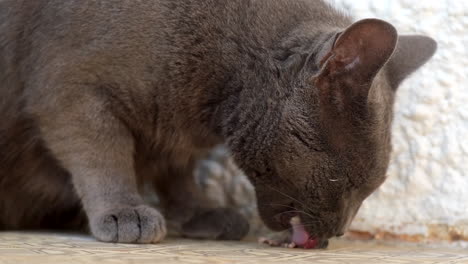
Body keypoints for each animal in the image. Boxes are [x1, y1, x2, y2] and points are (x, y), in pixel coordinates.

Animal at [1, 0, 436, 248]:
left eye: (372, 188)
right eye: (343, 181)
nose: (341, 231)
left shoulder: (176, 135)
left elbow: (178, 171)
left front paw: (198, 212)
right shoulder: (72, 89)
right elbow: (103, 155)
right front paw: (125, 211)